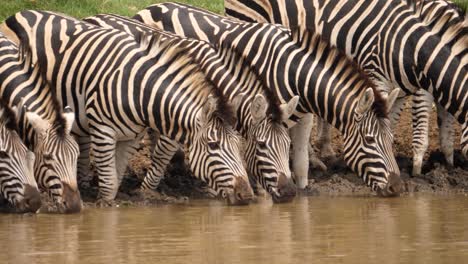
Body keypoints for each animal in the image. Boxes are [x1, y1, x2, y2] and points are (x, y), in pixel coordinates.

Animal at [82, 14, 298, 203]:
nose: (289, 193)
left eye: (288, 144)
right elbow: (162, 156)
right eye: (262, 145)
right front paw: (146, 192)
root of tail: (93, 17)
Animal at [134, 2, 402, 196]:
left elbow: (300, 162)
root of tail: (150, 7)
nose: (397, 188)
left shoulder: (302, 117)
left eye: (391, 139)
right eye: (370, 140)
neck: (294, 74)